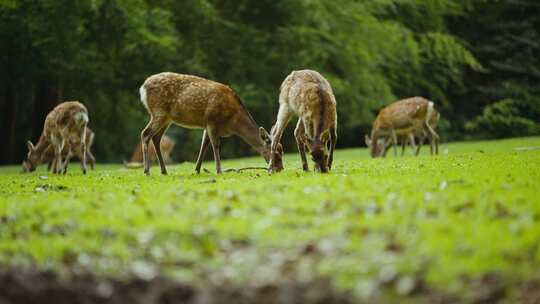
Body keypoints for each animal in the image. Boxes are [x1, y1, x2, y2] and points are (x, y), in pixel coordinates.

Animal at [138, 72, 282, 175]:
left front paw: (197, 169)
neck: (233, 122)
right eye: (275, 153)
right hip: (158, 112)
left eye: (281, 150)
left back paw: (163, 170)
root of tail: (142, 88)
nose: (280, 169)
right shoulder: (212, 121)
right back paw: (147, 170)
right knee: (145, 134)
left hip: (167, 118)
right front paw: (219, 170)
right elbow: (215, 145)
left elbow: (204, 145)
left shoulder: (206, 124)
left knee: (156, 138)